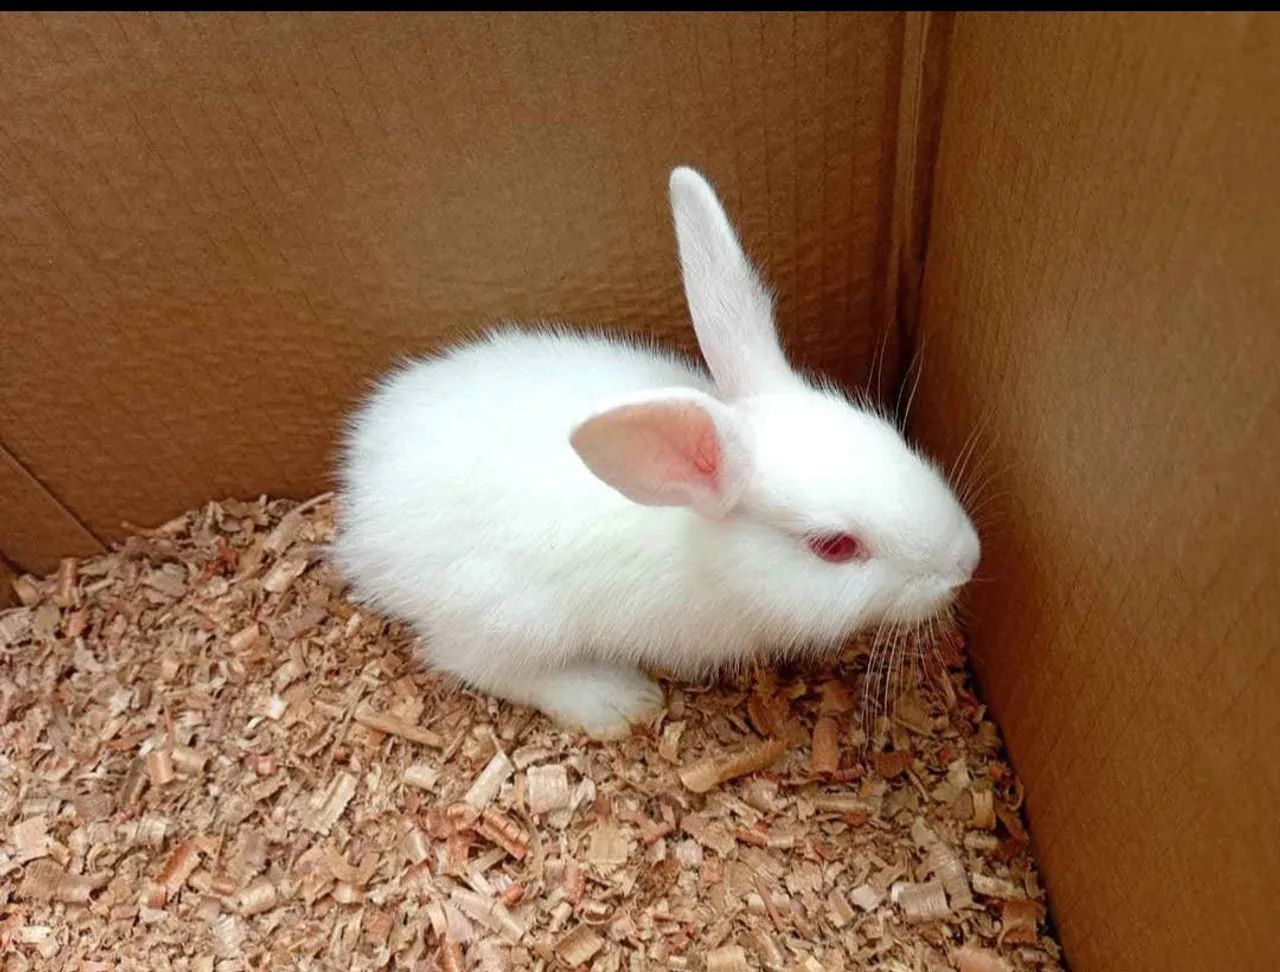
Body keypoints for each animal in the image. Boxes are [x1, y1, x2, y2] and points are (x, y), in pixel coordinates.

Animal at [332, 166, 980, 740]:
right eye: (835, 547)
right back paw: (616, 701)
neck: (712, 551)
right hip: (509, 615)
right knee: (477, 662)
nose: (966, 562)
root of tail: (363, 495)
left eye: (891, 433)